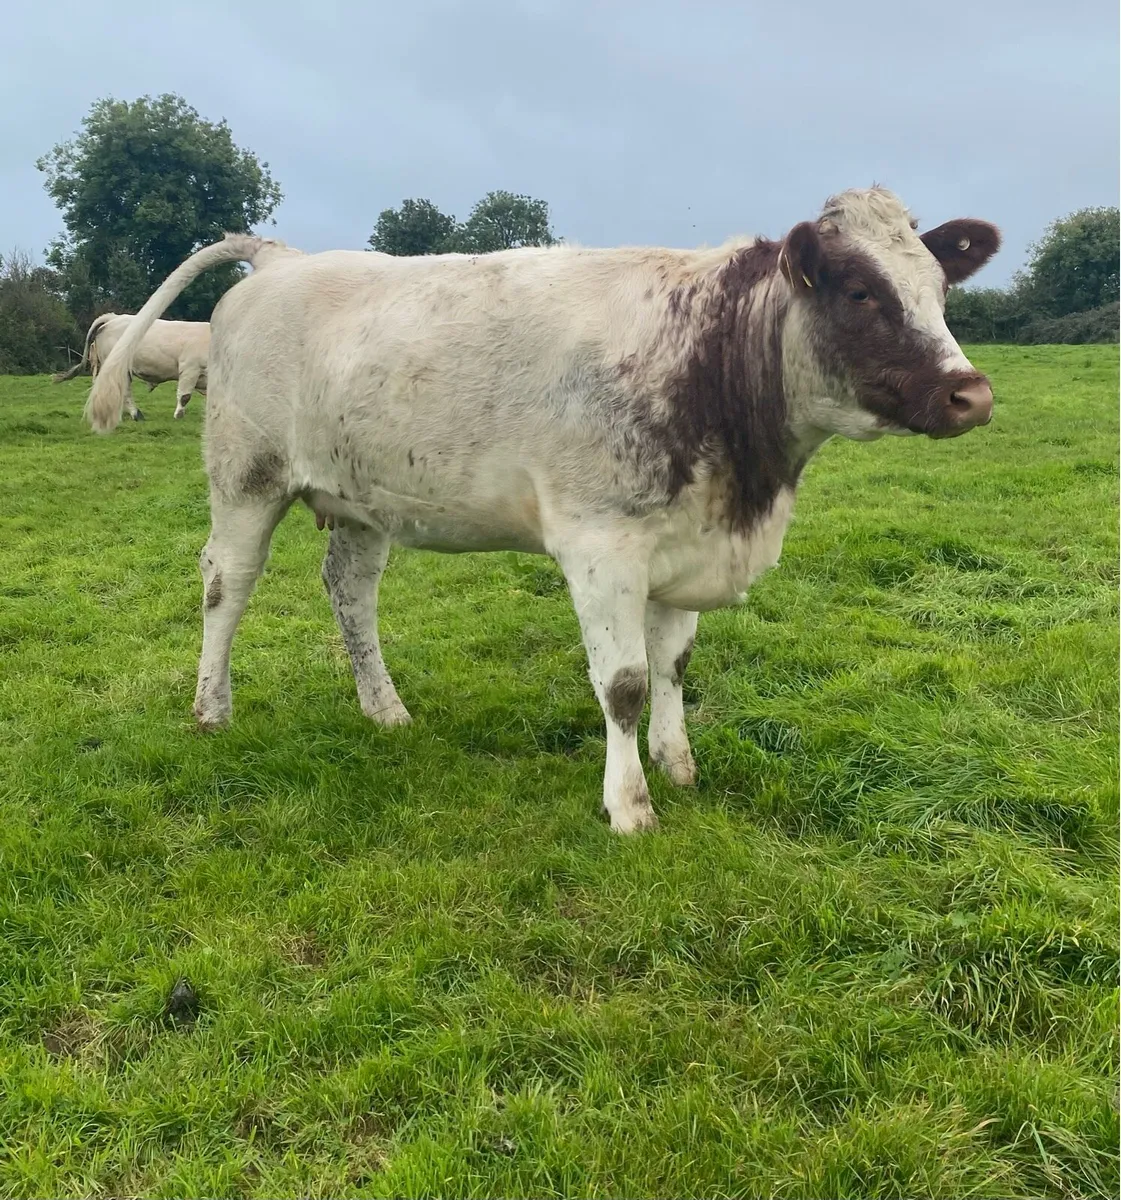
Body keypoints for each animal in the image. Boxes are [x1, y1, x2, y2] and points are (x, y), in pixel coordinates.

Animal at [55, 313, 209, 420]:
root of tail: (113, 318)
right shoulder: (190, 369)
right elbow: (184, 396)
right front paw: (179, 415)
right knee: (124, 391)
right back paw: (135, 414)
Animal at [86, 187, 999, 833]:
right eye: (858, 291)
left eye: (936, 286)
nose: (971, 393)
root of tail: (281, 259)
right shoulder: (602, 545)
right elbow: (623, 683)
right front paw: (630, 805)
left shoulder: (682, 543)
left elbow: (672, 668)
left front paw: (678, 765)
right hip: (246, 476)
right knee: (226, 583)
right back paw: (212, 710)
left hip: (361, 498)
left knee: (349, 590)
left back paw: (385, 710)